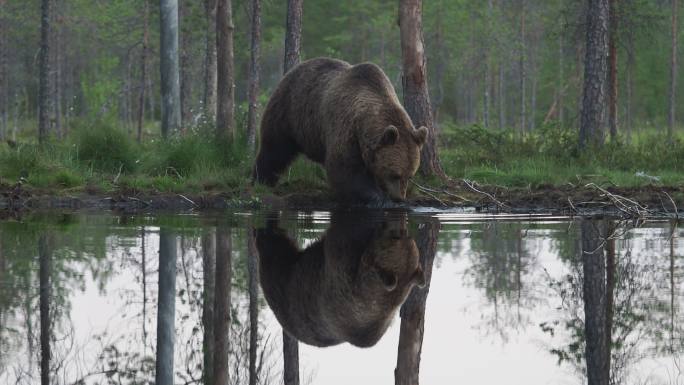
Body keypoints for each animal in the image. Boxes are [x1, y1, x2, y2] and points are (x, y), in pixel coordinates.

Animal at [251, 57, 428, 204]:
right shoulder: (347, 129)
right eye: (395, 174)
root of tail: (295, 69)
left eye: (410, 175)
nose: (399, 197)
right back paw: (261, 180)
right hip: (289, 111)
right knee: (275, 149)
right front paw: (377, 197)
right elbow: (344, 169)